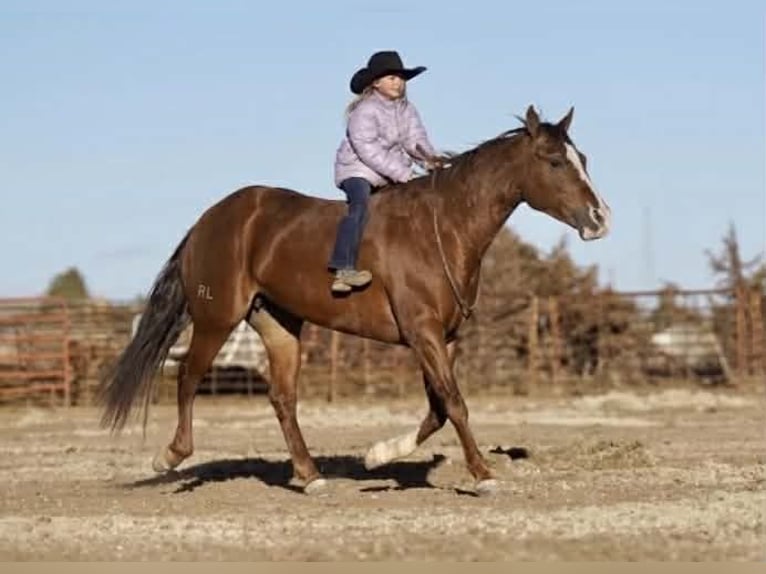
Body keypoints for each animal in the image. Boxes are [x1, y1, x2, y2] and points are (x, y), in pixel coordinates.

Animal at [99, 105, 611, 495]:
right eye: (554, 161)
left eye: (583, 156)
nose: (600, 218)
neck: (442, 227)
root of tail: (210, 219)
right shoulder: (422, 333)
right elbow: (454, 402)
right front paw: (483, 474)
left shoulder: (441, 338)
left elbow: (438, 408)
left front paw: (378, 456)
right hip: (216, 317)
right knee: (188, 376)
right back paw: (170, 457)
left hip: (279, 325)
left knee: (282, 398)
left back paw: (309, 477)